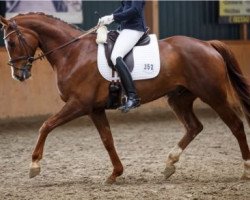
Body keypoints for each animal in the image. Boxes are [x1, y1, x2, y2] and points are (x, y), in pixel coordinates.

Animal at [0, 12, 250, 183]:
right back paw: (169, 163)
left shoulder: (78, 105)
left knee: (236, 125)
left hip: (213, 95)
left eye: (10, 42)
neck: (73, 53)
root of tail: (207, 44)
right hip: (179, 98)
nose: (18, 75)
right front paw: (115, 173)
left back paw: (246, 168)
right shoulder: (94, 109)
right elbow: (107, 140)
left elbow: (46, 126)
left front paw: (34, 165)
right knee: (194, 126)